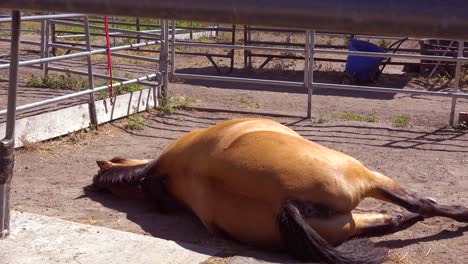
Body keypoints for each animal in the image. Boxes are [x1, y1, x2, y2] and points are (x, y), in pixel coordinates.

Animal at [90, 118, 468, 264]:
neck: (161, 173)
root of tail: (286, 203)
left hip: (343, 223)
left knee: (389, 218)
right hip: (366, 176)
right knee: (417, 204)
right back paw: (459, 215)